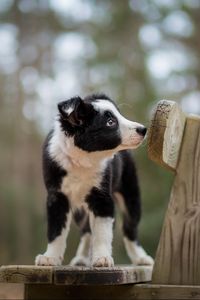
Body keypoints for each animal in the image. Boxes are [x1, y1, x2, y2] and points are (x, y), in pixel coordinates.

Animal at [35, 94, 153, 268]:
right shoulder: (57, 196)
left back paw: (141, 258)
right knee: (86, 232)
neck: (83, 159)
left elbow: (102, 231)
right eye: (110, 122)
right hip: (81, 210)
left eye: (120, 115)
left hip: (130, 192)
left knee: (129, 228)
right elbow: (56, 230)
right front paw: (50, 258)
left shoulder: (102, 197)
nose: (143, 129)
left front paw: (102, 257)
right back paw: (82, 258)